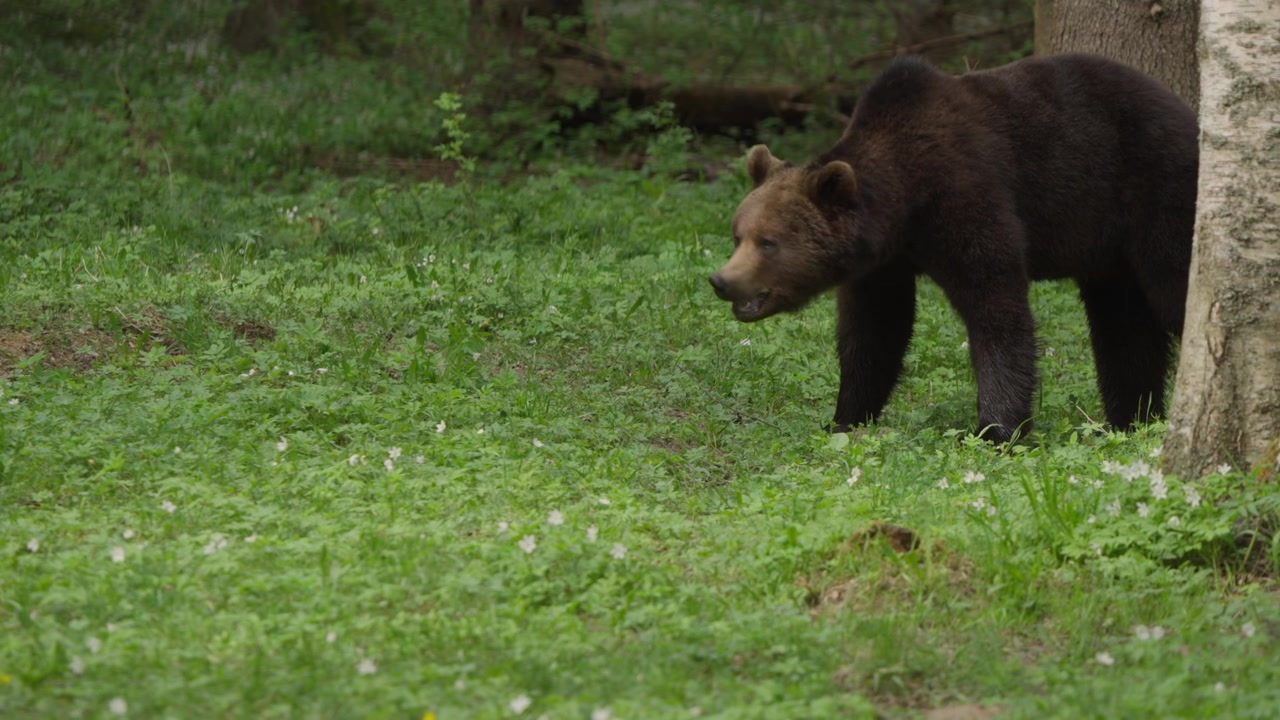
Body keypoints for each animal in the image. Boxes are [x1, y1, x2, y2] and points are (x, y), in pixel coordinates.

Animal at [709, 53, 1198, 444]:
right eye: (738, 235)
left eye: (769, 242)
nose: (721, 280)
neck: (907, 203)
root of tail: (1187, 111)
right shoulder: (883, 263)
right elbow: (873, 331)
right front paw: (844, 418)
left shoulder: (966, 199)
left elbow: (996, 310)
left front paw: (996, 430)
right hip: (1109, 251)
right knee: (1123, 324)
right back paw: (1131, 418)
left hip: (1156, 190)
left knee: (1173, 287)